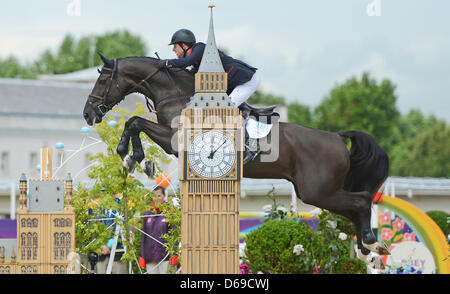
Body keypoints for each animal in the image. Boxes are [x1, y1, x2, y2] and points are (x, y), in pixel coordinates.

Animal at [83, 53, 390, 268]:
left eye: (102, 80)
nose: (88, 114)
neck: (177, 95)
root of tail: (337, 137)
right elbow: (134, 123)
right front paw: (135, 159)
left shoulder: (173, 140)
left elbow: (135, 121)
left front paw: (131, 156)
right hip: (318, 193)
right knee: (354, 208)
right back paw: (368, 249)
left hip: (317, 191)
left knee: (362, 201)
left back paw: (372, 244)